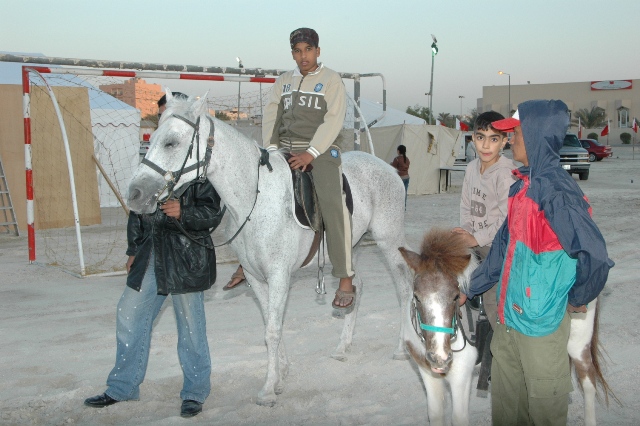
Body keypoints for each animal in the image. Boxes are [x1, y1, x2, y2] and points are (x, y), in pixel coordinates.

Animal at [127, 91, 413, 407]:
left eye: (171, 143)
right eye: (152, 139)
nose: (134, 194)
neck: (254, 198)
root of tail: (382, 164)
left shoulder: (278, 276)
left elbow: (273, 330)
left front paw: (267, 389)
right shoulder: (255, 277)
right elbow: (269, 323)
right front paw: (280, 373)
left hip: (389, 241)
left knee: (404, 287)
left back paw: (402, 347)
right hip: (350, 248)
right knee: (356, 285)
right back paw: (342, 346)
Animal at [400, 228, 618, 426]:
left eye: (455, 296)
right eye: (417, 296)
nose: (439, 357)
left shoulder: (461, 376)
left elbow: (459, 418)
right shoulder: (427, 373)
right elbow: (435, 414)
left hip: (578, 343)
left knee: (588, 382)